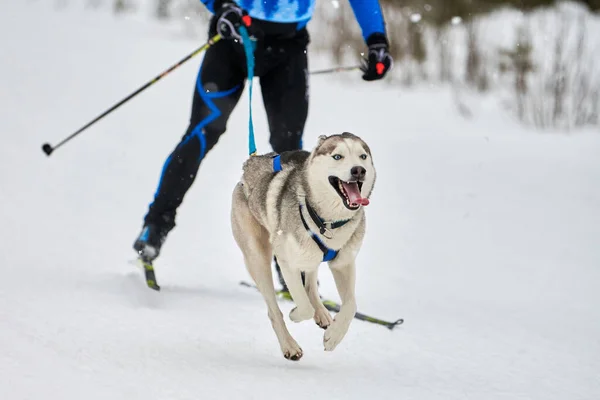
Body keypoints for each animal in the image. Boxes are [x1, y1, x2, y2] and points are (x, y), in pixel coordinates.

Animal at [230, 133, 376, 360]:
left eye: (363, 156)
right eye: (337, 156)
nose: (359, 170)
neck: (329, 222)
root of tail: (250, 163)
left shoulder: (344, 263)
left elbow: (351, 305)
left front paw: (334, 337)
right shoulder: (286, 261)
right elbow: (303, 305)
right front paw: (296, 314)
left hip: (310, 257)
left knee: (310, 285)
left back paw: (322, 313)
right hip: (258, 258)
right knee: (274, 310)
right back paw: (289, 345)